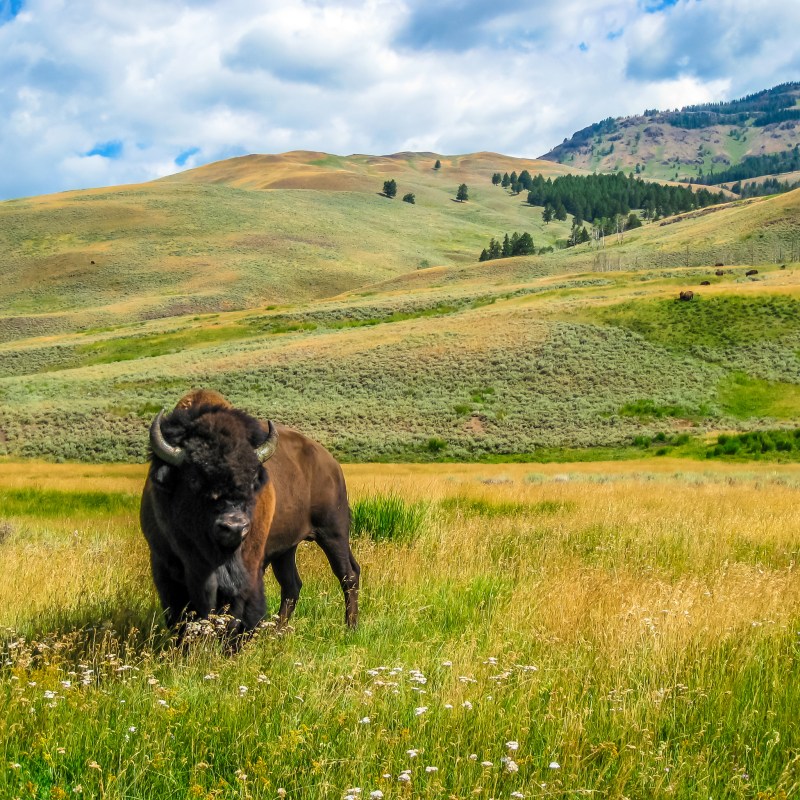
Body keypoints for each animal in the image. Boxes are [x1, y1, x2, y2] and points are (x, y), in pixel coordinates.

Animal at [141, 388, 360, 636]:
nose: (234, 526)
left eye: (252, 479)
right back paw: (277, 632)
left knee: (348, 575)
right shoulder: (164, 563)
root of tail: (331, 463)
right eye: (194, 478)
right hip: (286, 549)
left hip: (333, 532)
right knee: (292, 585)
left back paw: (350, 627)